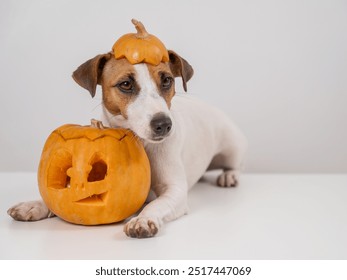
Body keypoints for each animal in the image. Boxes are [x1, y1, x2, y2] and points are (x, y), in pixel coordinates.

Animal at [7, 48, 247, 238]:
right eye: (125, 84)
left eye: (167, 80)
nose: (164, 124)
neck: (142, 142)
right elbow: (57, 196)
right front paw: (34, 205)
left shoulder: (175, 192)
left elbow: (157, 204)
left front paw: (142, 219)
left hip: (231, 146)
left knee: (234, 164)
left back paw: (229, 176)